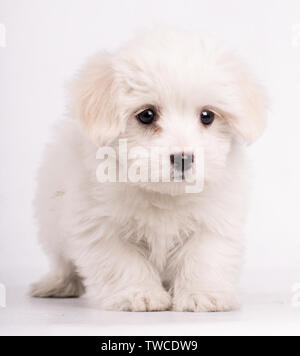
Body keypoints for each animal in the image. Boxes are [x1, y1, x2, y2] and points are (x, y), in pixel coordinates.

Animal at [31, 29, 266, 312]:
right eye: (146, 115)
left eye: (207, 116)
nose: (184, 158)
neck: (165, 195)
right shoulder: (100, 224)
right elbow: (123, 262)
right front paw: (139, 294)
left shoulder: (214, 220)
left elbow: (204, 257)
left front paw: (203, 294)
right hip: (51, 224)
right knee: (62, 260)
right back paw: (58, 284)